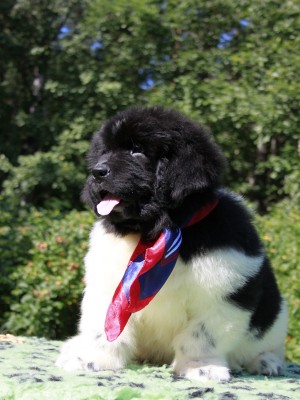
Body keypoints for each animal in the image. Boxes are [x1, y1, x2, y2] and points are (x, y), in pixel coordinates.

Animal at [56, 106, 288, 382]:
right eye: (105, 152)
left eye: (137, 150)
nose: (97, 172)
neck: (156, 231)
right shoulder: (108, 286)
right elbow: (104, 330)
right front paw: (93, 360)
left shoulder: (221, 296)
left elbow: (201, 337)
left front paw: (200, 367)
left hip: (275, 317)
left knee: (268, 345)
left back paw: (265, 362)